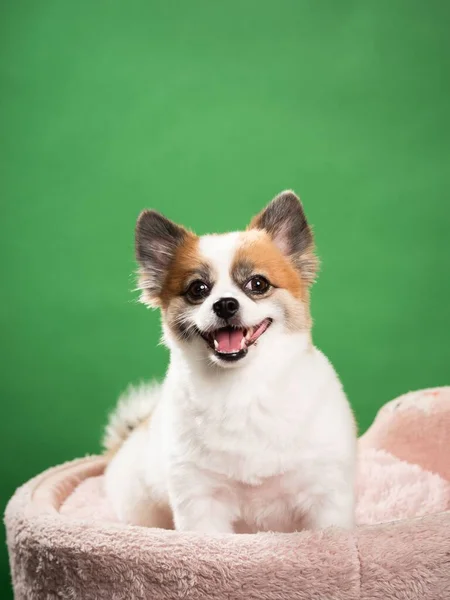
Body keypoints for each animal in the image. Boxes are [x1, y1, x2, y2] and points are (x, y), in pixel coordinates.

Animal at [103, 190, 356, 532]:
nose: (224, 304)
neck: (243, 389)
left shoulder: (326, 495)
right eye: (198, 289)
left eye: (258, 284)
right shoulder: (199, 500)